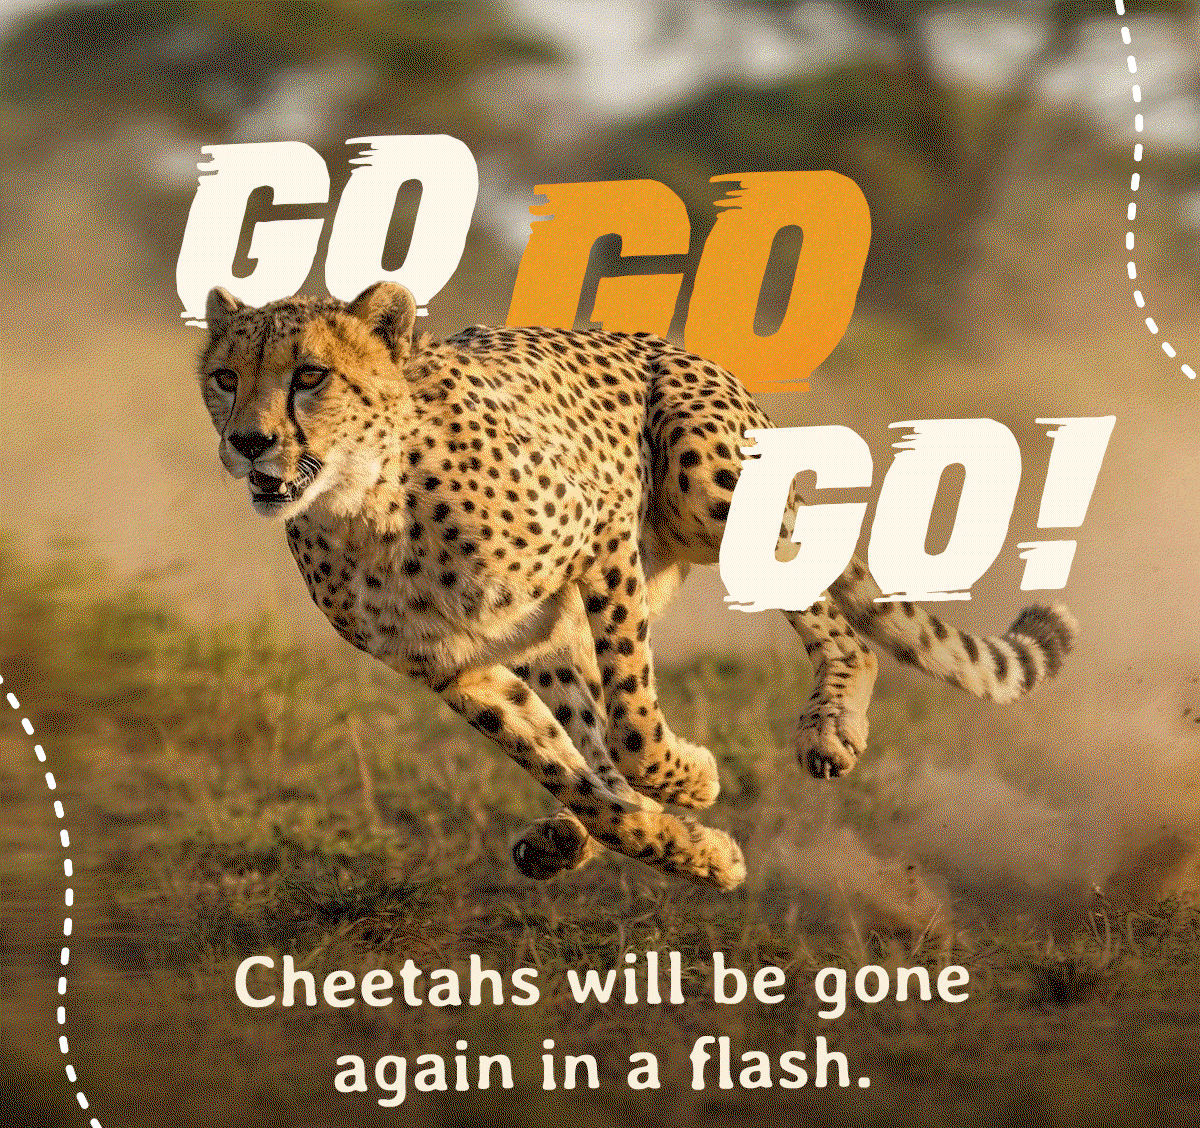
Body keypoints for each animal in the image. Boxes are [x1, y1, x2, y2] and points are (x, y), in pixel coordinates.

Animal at [196, 280, 1076, 891]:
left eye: (311, 375)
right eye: (225, 377)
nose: (248, 442)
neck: (366, 505)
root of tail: (675, 345)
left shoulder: (600, 538)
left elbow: (632, 728)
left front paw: (691, 777)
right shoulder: (453, 664)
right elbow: (573, 768)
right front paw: (692, 852)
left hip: (703, 479)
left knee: (839, 633)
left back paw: (829, 728)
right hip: (552, 628)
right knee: (583, 737)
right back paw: (565, 838)